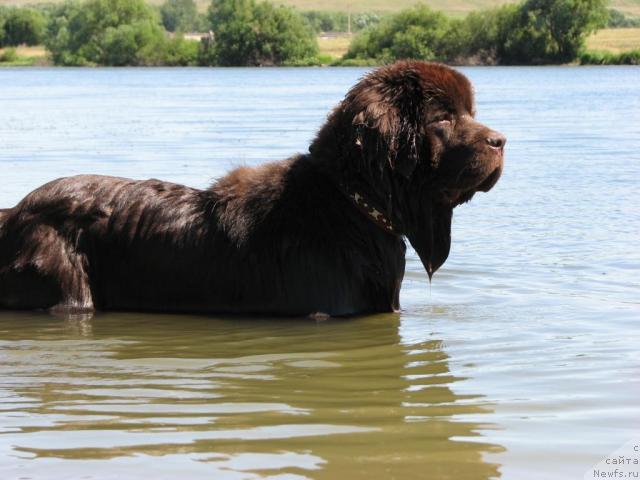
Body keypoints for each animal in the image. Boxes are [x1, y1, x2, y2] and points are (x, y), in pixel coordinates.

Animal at [2, 60, 508, 316]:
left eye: (469, 111)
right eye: (443, 119)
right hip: (68, 290)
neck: (350, 206)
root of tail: (14, 213)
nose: (501, 140)